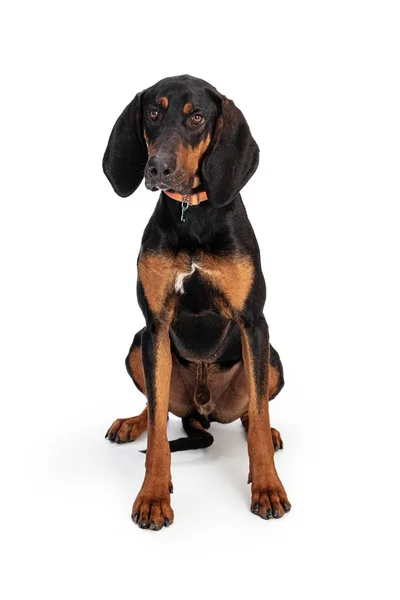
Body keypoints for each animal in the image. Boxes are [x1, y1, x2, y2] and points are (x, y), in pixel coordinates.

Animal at [102, 75, 290, 528]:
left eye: (197, 117)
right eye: (153, 112)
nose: (157, 168)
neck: (193, 215)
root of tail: (204, 411)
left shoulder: (253, 323)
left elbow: (259, 416)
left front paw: (268, 488)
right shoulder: (154, 326)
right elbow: (157, 429)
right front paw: (153, 496)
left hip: (273, 359)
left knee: (252, 409)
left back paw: (269, 431)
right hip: (137, 345)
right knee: (154, 406)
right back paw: (130, 423)